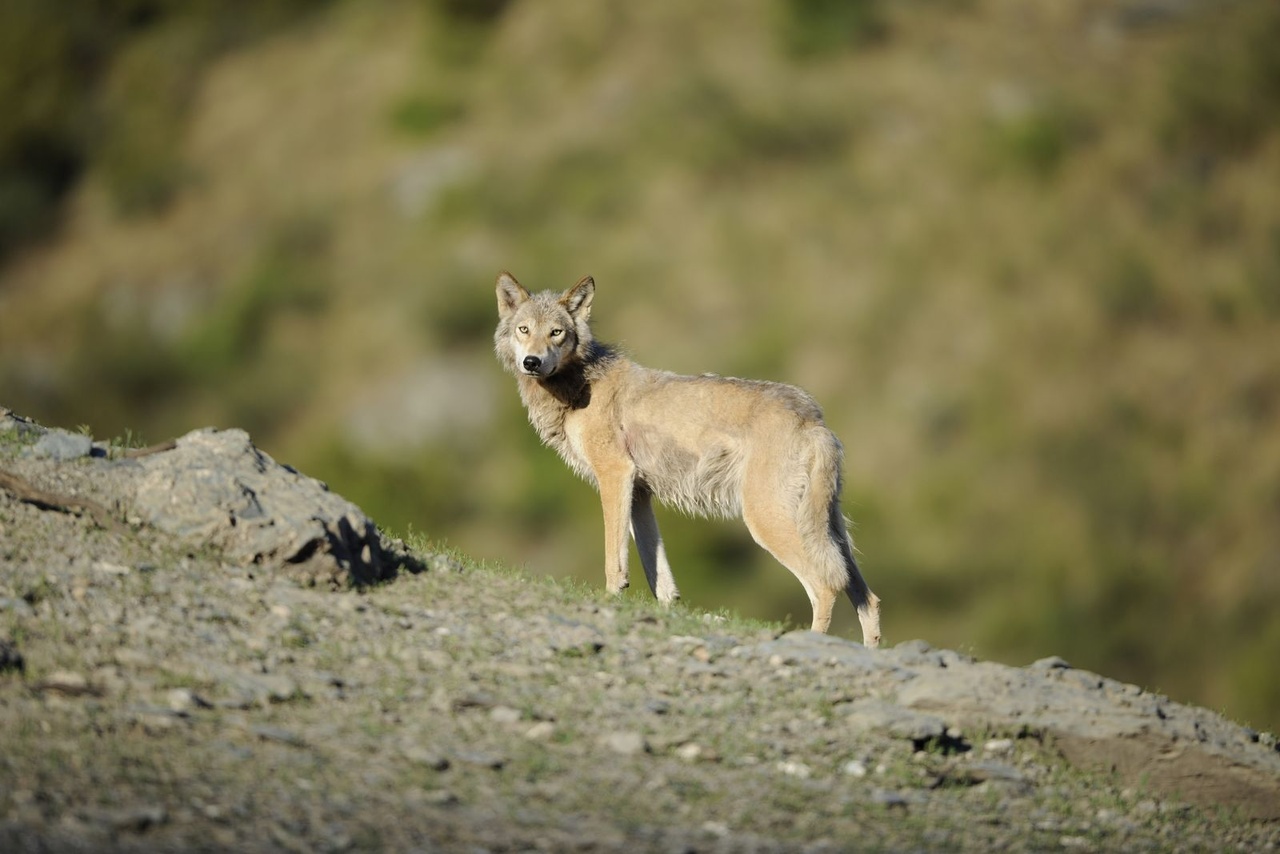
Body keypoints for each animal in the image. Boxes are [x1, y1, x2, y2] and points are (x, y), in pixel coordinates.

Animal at [496, 273, 880, 647]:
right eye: (524, 329)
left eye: (556, 332)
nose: (532, 362)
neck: (579, 383)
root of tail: (813, 419)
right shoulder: (639, 494)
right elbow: (659, 575)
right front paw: (668, 614)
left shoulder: (614, 475)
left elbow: (614, 560)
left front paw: (610, 600)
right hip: (832, 533)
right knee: (868, 598)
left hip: (768, 523)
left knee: (826, 586)